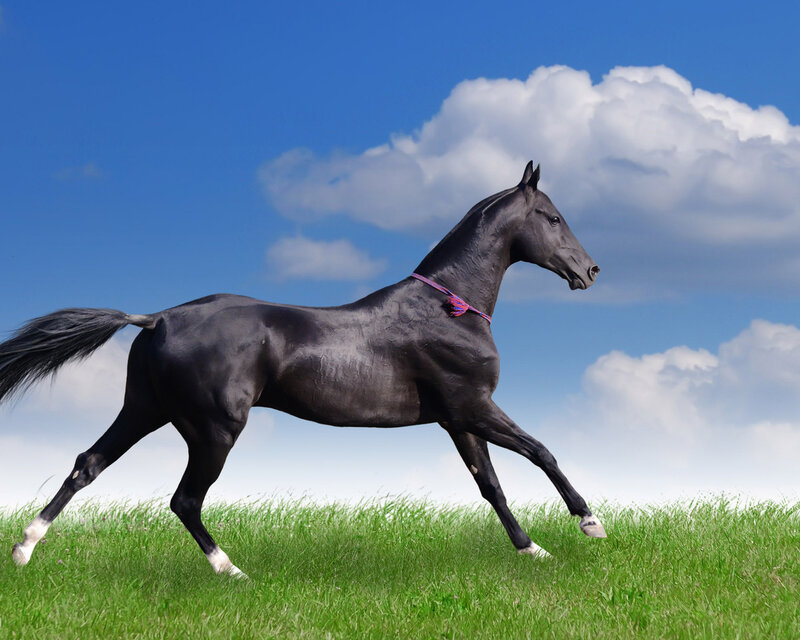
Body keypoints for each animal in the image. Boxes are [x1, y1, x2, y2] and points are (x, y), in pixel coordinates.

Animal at [1, 162, 605, 577]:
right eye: (553, 217)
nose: (590, 270)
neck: (447, 308)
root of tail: (156, 319)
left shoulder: (457, 418)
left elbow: (491, 486)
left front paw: (533, 550)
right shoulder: (474, 406)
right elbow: (542, 452)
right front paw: (589, 523)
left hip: (144, 410)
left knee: (88, 464)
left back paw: (25, 548)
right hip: (214, 429)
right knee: (184, 500)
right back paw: (232, 571)